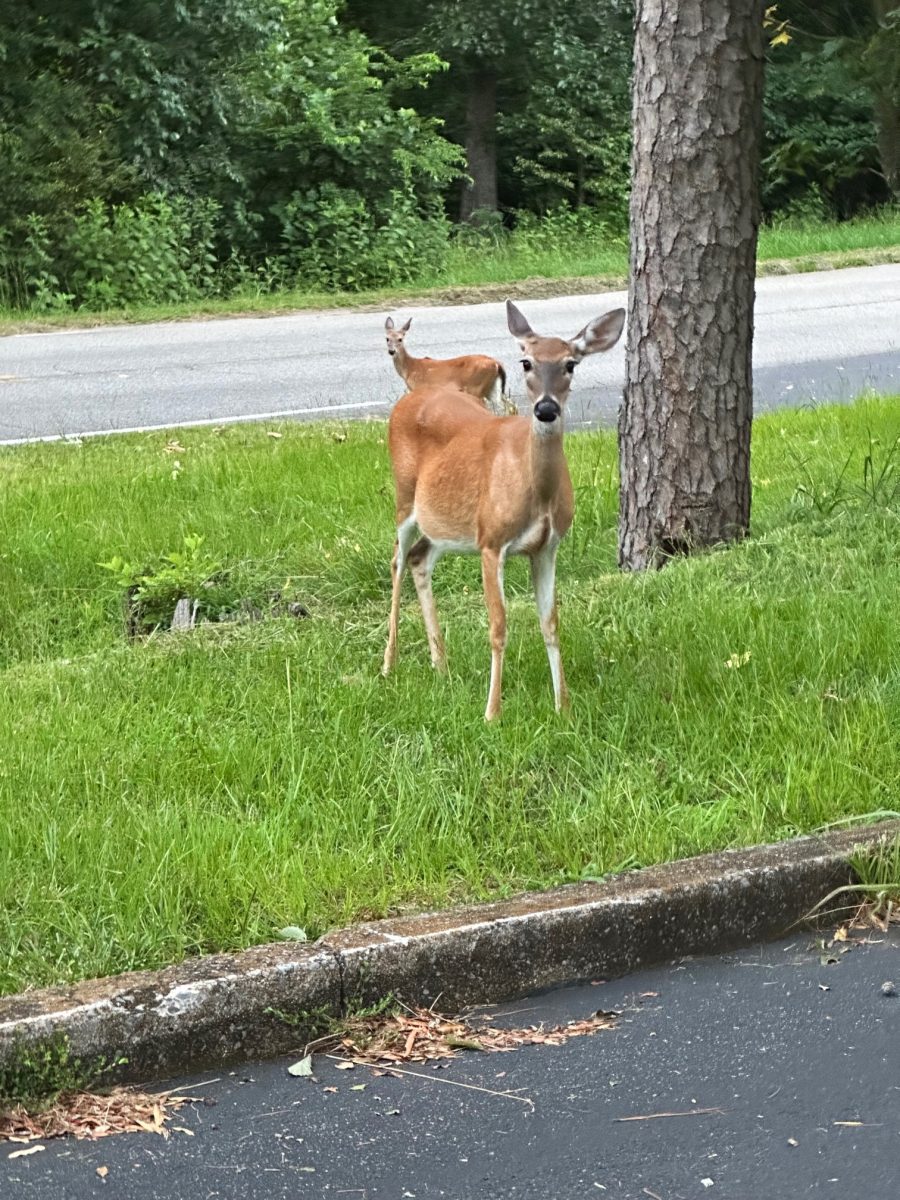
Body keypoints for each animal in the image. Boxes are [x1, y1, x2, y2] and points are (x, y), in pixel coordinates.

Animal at [381, 297, 628, 720]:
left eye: (571, 364)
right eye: (526, 362)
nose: (546, 409)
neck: (536, 492)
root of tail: (406, 400)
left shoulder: (547, 547)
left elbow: (551, 623)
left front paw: (563, 706)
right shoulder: (492, 541)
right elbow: (498, 627)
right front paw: (492, 712)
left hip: (446, 524)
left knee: (418, 558)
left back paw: (441, 664)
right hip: (405, 495)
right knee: (397, 559)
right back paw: (388, 663)